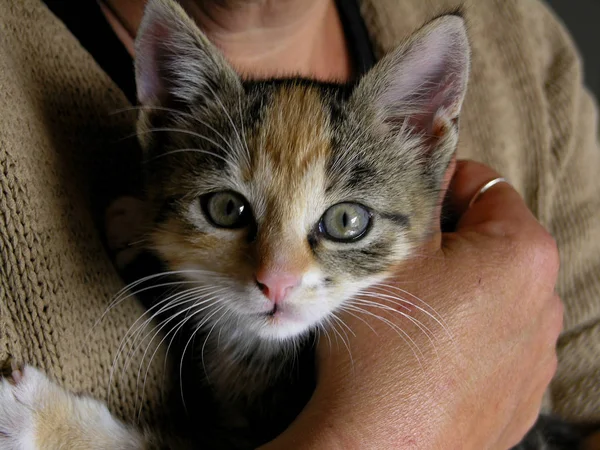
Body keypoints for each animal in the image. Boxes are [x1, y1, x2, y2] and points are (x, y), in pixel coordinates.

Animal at [0, 1, 584, 448]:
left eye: (347, 220)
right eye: (226, 209)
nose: (276, 282)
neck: (261, 353)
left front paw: (43, 418)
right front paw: (136, 218)